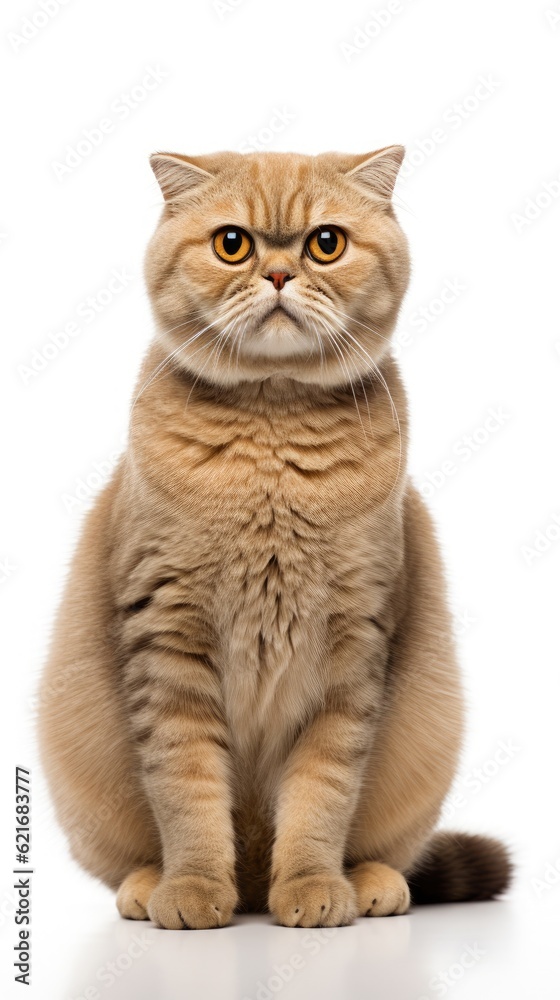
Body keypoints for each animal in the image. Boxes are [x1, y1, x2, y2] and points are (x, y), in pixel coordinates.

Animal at [39, 146, 512, 928]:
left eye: (326, 243)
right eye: (233, 244)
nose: (281, 275)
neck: (272, 431)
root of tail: (254, 879)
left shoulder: (351, 647)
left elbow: (322, 795)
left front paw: (315, 886)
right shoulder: (168, 637)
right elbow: (186, 788)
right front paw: (193, 888)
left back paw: (369, 881)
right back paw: (151, 885)